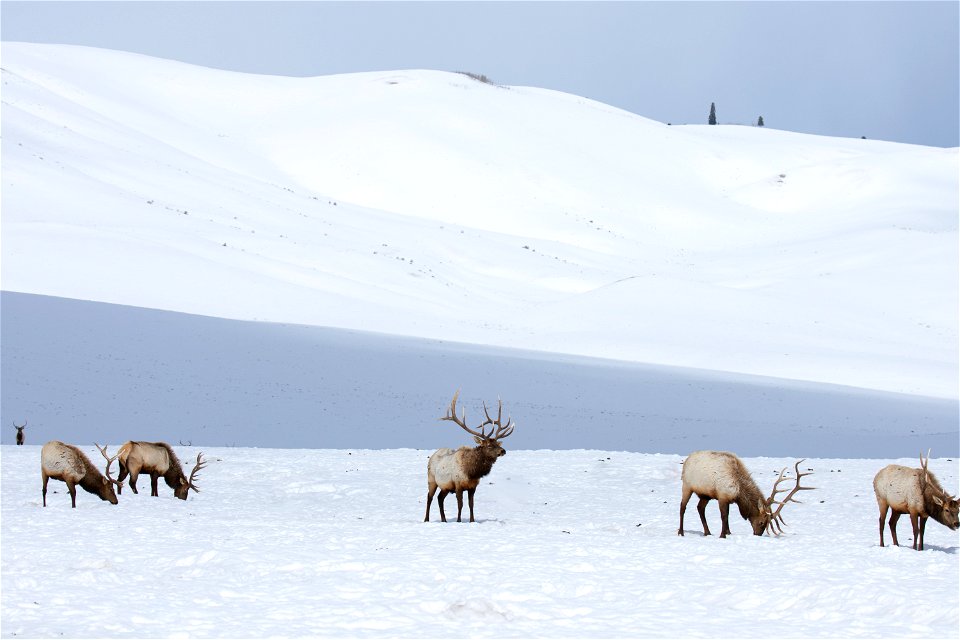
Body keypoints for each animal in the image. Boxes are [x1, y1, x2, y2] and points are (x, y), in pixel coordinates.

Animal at [426, 388, 516, 524]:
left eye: (496, 443)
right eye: (488, 446)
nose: (503, 451)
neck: (471, 472)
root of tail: (432, 457)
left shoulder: (473, 486)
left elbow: (471, 504)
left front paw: (472, 521)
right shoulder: (458, 484)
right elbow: (460, 504)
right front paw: (458, 521)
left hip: (445, 487)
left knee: (440, 498)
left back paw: (444, 520)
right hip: (431, 480)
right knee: (429, 497)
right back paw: (426, 519)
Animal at [680, 450, 812, 540]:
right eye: (762, 522)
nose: (757, 535)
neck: (739, 493)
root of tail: (687, 460)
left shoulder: (728, 499)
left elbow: (727, 517)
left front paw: (728, 532)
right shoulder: (722, 496)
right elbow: (724, 516)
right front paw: (722, 535)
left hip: (705, 494)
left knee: (700, 508)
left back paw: (707, 532)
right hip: (687, 485)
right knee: (683, 507)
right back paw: (681, 532)